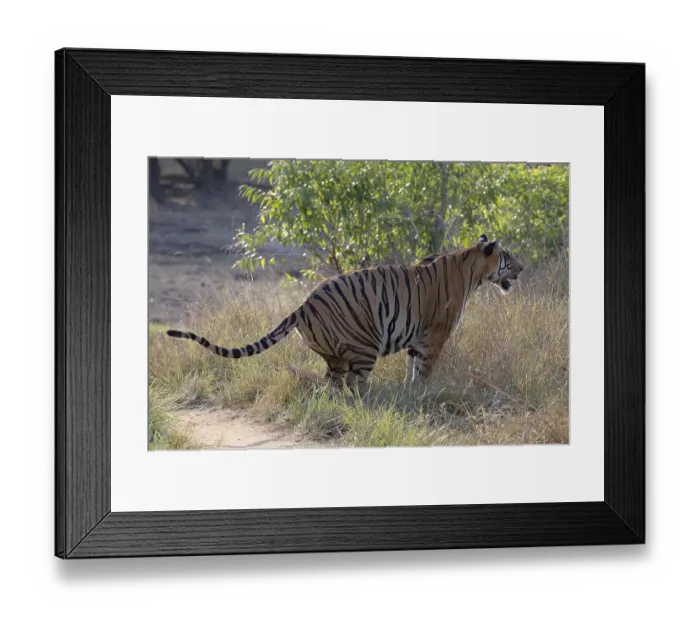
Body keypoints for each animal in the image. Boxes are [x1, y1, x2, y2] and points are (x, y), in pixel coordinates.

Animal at [165, 234, 524, 391]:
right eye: (508, 257)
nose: (522, 268)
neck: (472, 270)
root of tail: (302, 305)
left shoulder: (416, 339)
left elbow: (412, 367)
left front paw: (409, 393)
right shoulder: (434, 336)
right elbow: (424, 370)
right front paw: (420, 395)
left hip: (335, 355)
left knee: (332, 385)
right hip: (366, 345)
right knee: (353, 387)